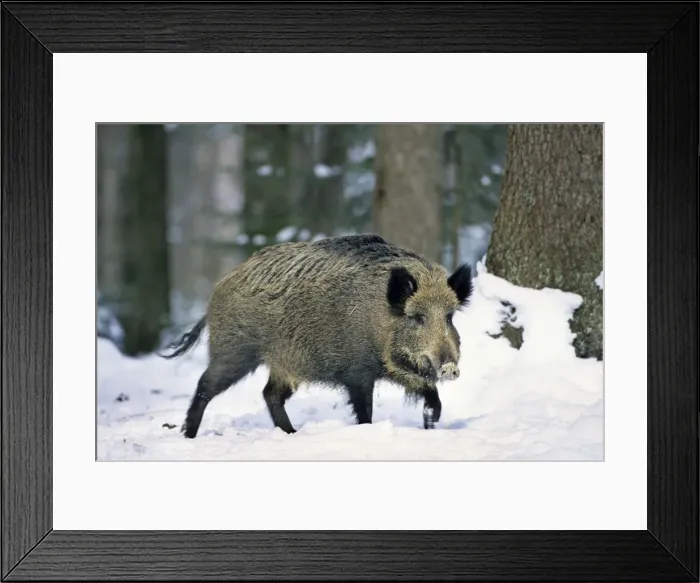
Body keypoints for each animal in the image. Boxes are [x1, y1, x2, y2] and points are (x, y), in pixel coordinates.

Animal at [160, 234, 473, 437]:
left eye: (449, 316)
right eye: (418, 317)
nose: (449, 367)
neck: (379, 319)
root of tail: (220, 288)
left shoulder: (395, 369)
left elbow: (429, 392)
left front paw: (431, 422)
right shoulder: (357, 372)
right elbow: (365, 411)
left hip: (283, 364)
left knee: (270, 394)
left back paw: (292, 433)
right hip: (234, 350)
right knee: (205, 385)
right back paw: (188, 434)